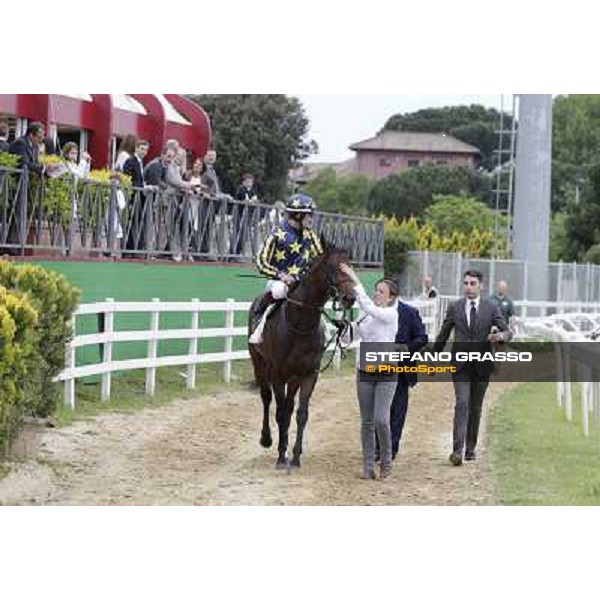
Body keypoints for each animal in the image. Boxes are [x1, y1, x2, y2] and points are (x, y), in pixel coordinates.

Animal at [248, 240, 356, 468]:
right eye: (333, 267)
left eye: (350, 266)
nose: (350, 297)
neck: (299, 324)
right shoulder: (278, 374)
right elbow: (280, 413)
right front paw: (281, 456)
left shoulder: (308, 374)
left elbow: (301, 414)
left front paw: (296, 455)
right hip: (259, 364)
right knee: (266, 398)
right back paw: (266, 439)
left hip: (293, 377)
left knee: (289, 406)